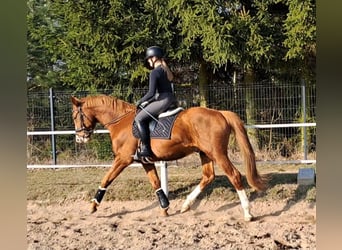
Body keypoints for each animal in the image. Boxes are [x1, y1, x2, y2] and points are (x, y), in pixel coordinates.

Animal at [70, 94, 268, 221]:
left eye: (74, 116)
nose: (80, 138)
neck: (120, 121)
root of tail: (220, 113)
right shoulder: (145, 162)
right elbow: (156, 183)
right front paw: (165, 208)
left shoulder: (123, 159)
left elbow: (106, 179)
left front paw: (93, 205)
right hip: (204, 153)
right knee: (208, 176)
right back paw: (186, 205)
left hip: (218, 154)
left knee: (234, 175)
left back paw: (247, 213)